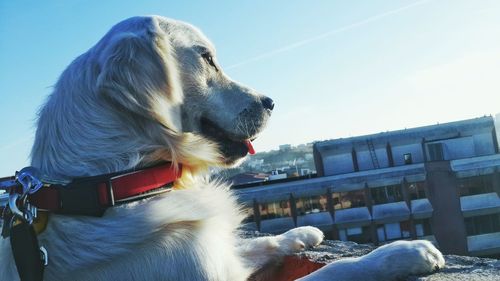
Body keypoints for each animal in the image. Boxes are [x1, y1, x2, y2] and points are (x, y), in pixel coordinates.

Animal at [0, 15, 446, 280]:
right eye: (207, 58)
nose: (270, 102)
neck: (119, 183)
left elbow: (260, 242)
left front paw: (300, 234)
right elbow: (331, 274)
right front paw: (404, 253)